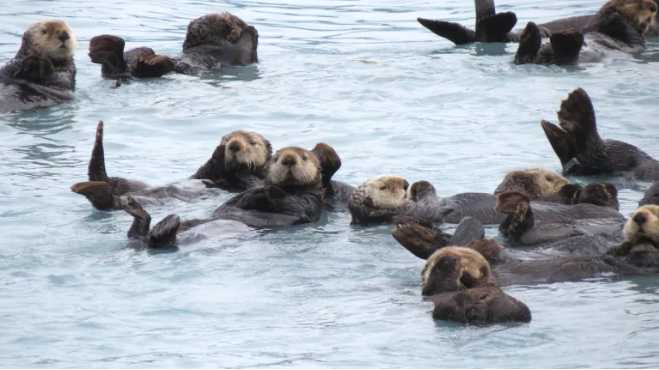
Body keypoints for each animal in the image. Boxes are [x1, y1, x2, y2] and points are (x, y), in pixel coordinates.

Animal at [69, 122, 270, 211]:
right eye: (227, 139)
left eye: (252, 142)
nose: (234, 145)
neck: (226, 176)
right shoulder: (203, 174)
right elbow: (202, 171)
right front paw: (219, 152)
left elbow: (255, 183)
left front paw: (243, 168)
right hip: (131, 184)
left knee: (111, 201)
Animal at [516, 0, 659, 65]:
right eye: (640, 3)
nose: (653, 7)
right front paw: (612, 11)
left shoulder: (636, 40)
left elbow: (632, 36)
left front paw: (614, 15)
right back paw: (533, 31)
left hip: (567, 56)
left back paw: (565, 37)